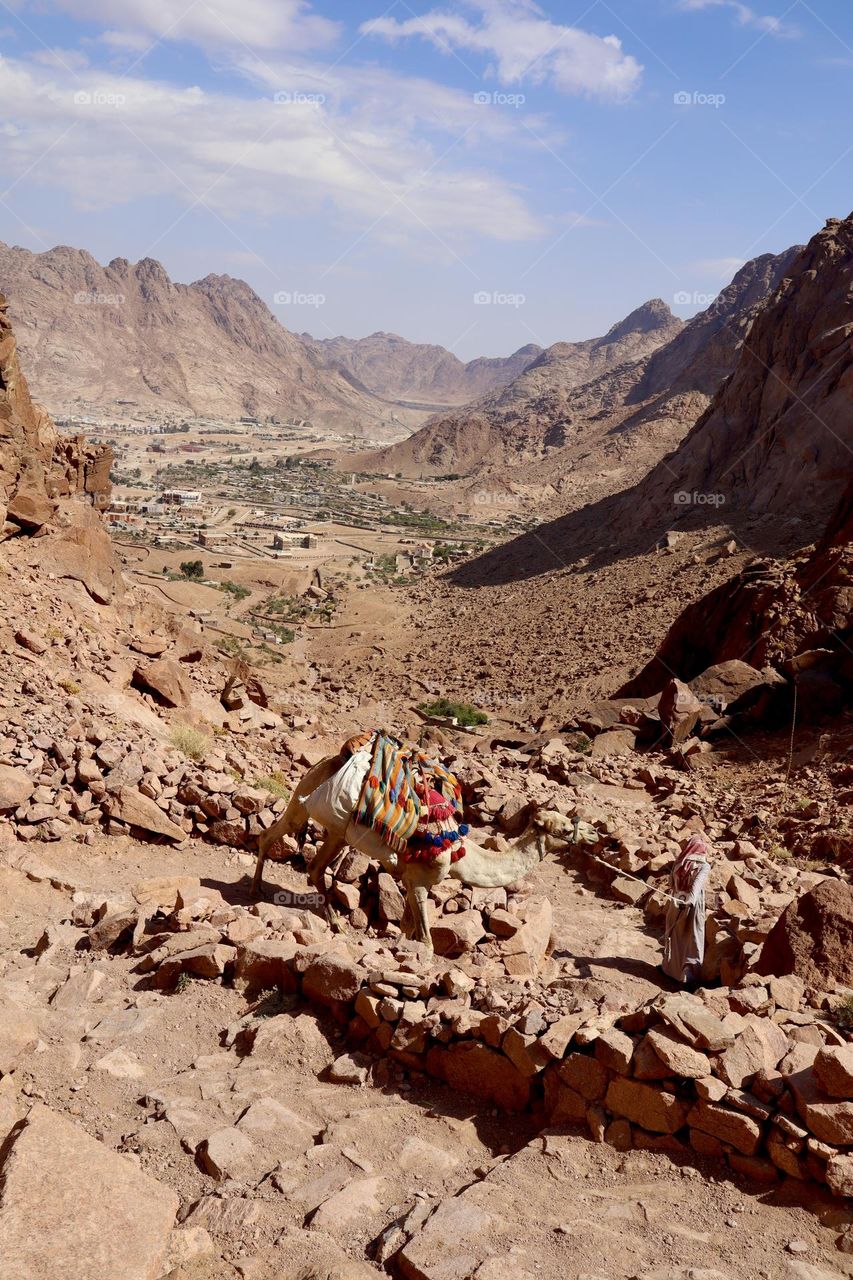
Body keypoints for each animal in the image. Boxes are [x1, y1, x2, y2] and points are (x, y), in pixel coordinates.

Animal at [252, 747, 596, 952]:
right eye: (564, 828)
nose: (592, 833)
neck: (458, 853)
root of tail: (328, 761)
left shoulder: (408, 879)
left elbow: (408, 927)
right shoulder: (419, 881)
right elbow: (427, 941)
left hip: (336, 829)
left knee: (312, 865)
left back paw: (331, 921)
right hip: (310, 804)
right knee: (276, 838)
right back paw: (257, 890)